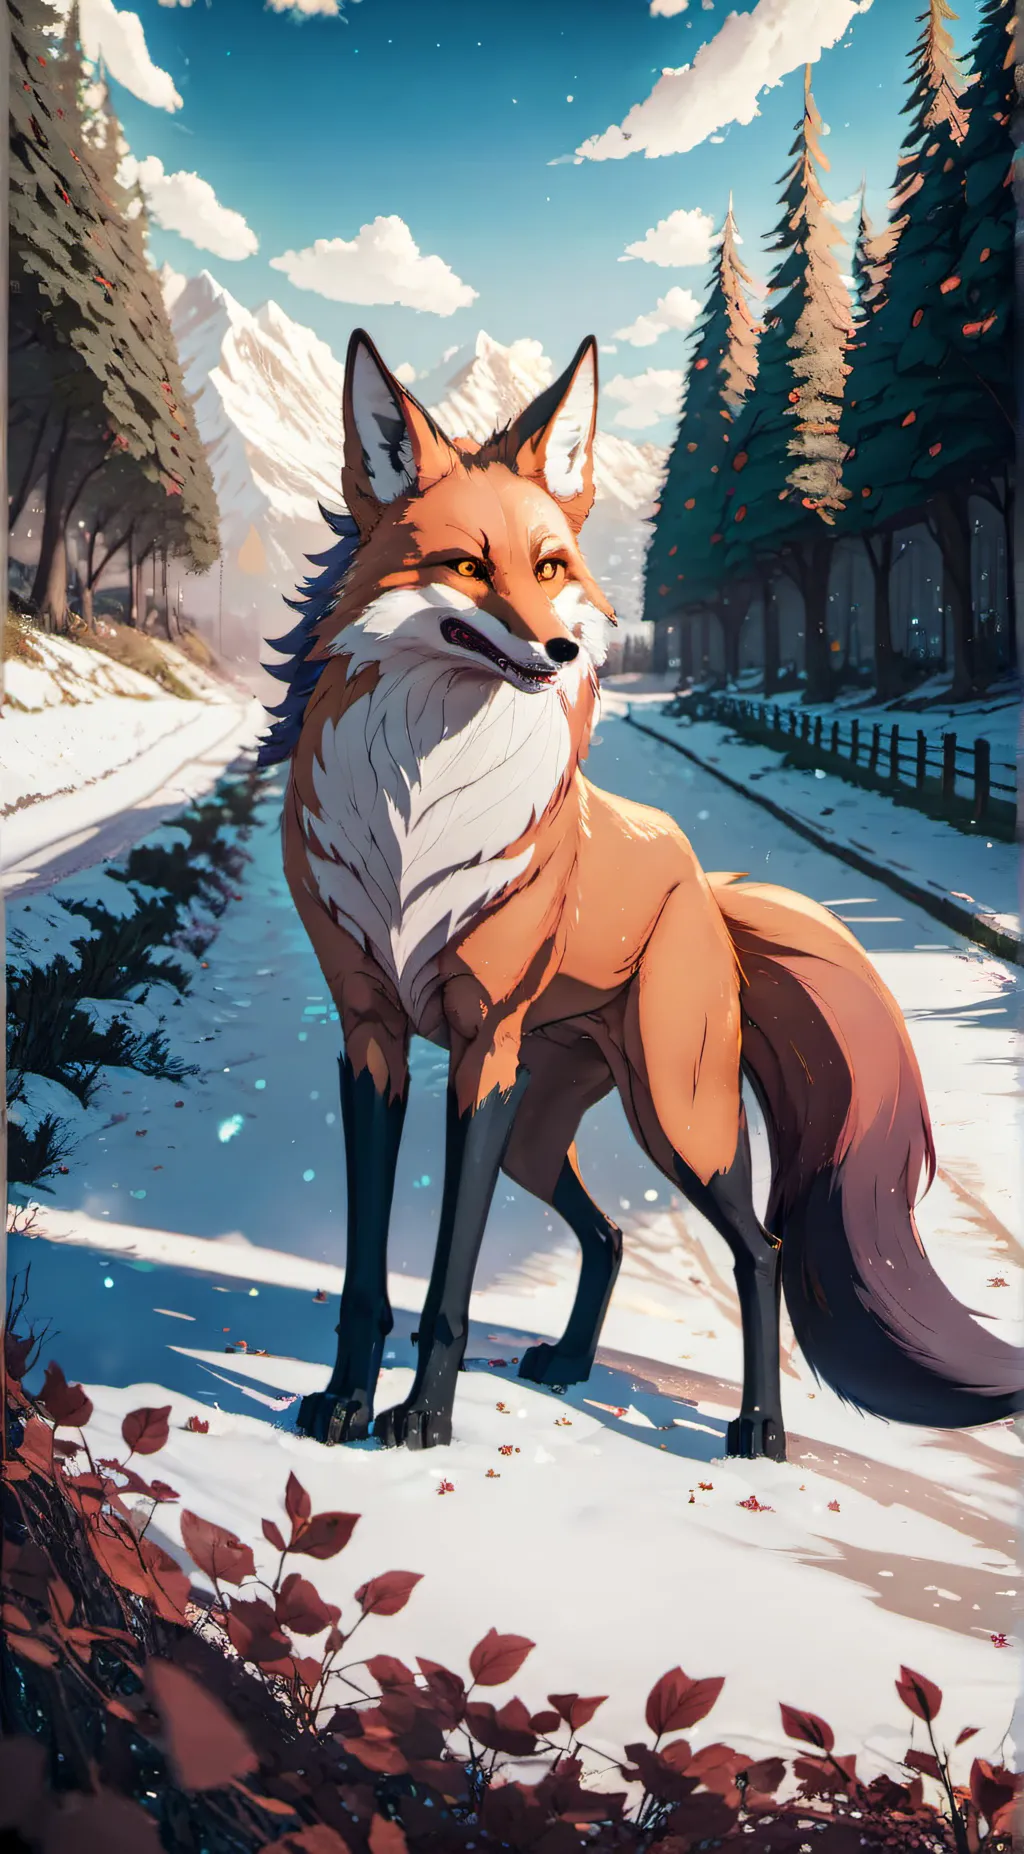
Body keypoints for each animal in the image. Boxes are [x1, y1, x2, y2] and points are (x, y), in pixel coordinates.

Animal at [259, 328, 1021, 1461]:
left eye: (549, 567)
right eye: (468, 567)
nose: (565, 649)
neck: (415, 824)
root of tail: (705, 881)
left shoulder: (482, 1049)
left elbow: (448, 1282)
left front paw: (423, 1417)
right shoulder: (372, 1039)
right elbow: (365, 1273)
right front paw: (346, 1402)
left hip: (674, 1115)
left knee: (761, 1248)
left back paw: (759, 1429)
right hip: (545, 1129)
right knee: (611, 1234)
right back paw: (572, 1363)